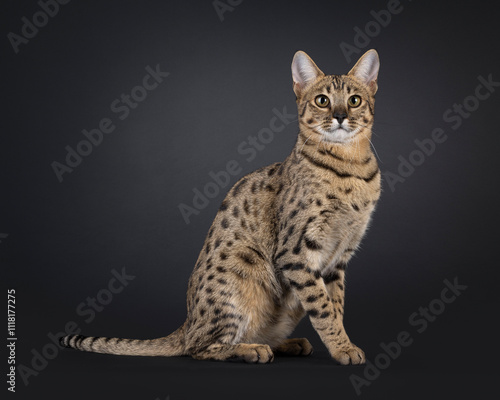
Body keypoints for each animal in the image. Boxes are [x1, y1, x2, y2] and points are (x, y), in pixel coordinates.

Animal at [63, 49, 382, 366]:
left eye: (354, 100)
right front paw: (342, 348)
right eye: (322, 101)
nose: (340, 116)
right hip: (241, 277)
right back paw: (250, 350)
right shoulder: (296, 253)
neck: (350, 167)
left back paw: (287, 343)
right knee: (199, 346)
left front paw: (342, 344)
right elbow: (324, 309)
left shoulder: (338, 258)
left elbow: (335, 305)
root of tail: (187, 322)